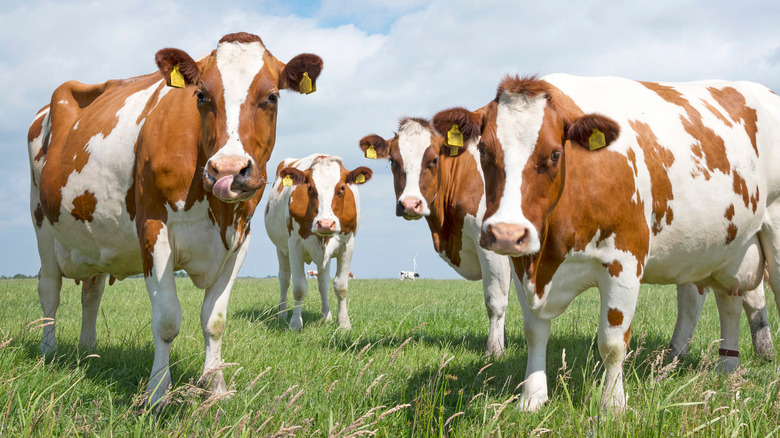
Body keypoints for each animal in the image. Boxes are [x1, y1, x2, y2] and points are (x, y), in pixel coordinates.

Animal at [25, 32, 322, 406]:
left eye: (271, 96)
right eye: (202, 95)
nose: (228, 170)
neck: (217, 212)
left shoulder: (240, 237)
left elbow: (214, 320)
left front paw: (216, 387)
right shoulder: (154, 229)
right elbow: (167, 320)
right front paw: (156, 393)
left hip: (96, 239)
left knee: (91, 293)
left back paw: (88, 349)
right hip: (41, 222)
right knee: (49, 289)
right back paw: (48, 351)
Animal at [266, 154, 372, 328]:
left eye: (342, 188)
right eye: (310, 188)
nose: (325, 224)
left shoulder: (348, 244)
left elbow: (340, 286)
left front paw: (343, 323)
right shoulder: (294, 245)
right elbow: (299, 287)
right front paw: (295, 323)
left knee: (323, 282)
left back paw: (325, 316)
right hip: (280, 248)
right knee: (284, 278)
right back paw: (282, 313)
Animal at [432, 73, 780, 412]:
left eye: (555, 154)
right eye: (484, 152)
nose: (506, 233)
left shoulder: (624, 261)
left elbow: (612, 343)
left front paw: (612, 405)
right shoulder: (523, 264)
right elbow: (534, 333)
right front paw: (531, 399)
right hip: (728, 248)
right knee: (729, 300)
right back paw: (727, 368)